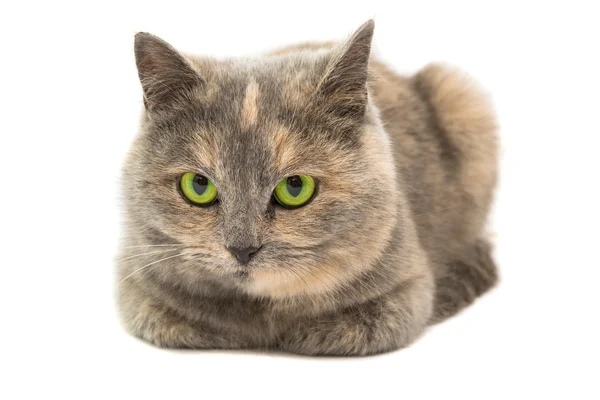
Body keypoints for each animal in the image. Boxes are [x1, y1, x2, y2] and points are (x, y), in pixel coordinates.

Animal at [116, 20, 496, 354]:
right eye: (198, 186)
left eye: (295, 188)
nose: (242, 249)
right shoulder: (132, 282)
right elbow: (175, 320)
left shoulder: (409, 287)